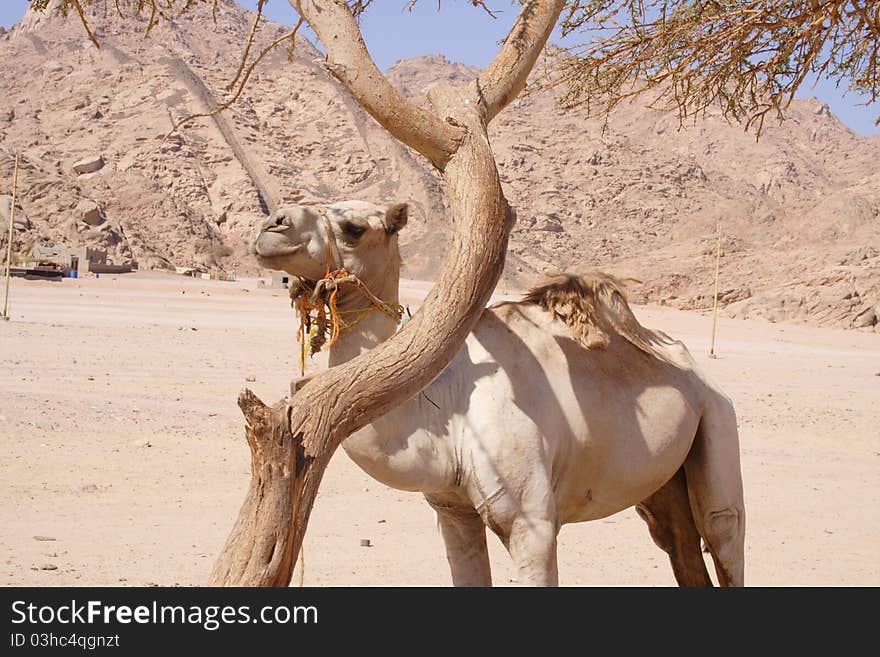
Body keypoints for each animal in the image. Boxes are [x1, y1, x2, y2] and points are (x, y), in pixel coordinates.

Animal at [248, 200, 744, 584]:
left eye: (354, 228)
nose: (272, 225)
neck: (446, 407)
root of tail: (693, 368)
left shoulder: (531, 522)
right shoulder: (453, 510)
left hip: (718, 420)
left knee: (723, 530)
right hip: (661, 482)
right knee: (679, 544)